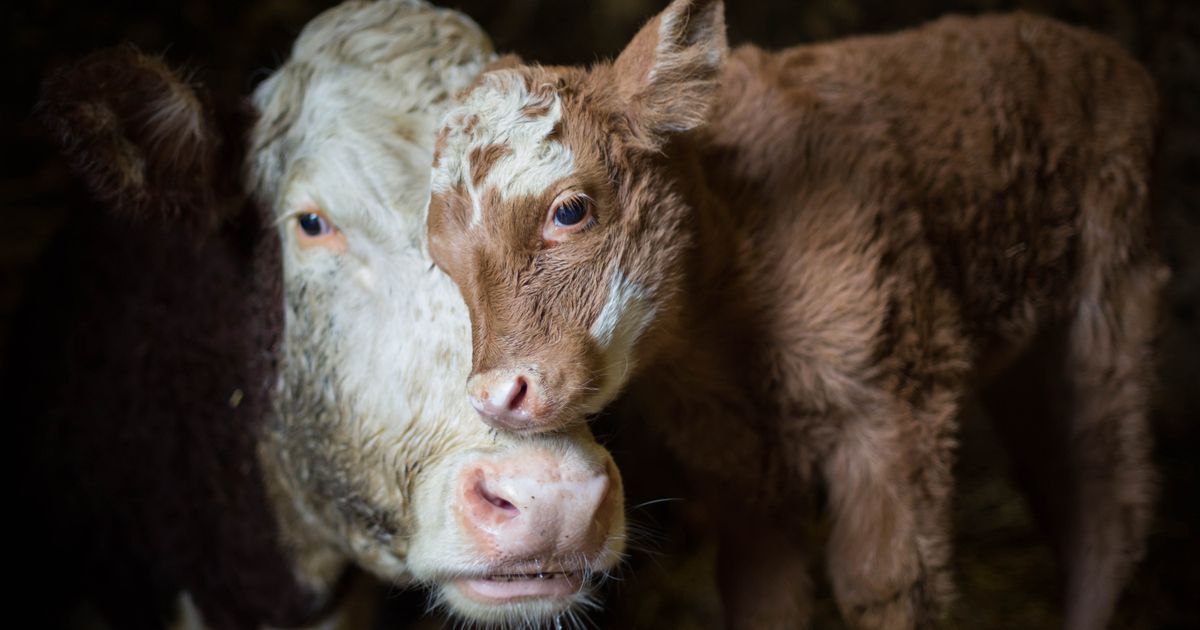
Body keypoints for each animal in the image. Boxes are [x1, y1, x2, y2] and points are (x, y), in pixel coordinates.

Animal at [427, 2, 1166, 624]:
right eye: (441, 259)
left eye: (571, 210)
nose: (497, 395)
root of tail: (1092, 47)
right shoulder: (729, 449)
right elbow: (762, 590)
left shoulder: (895, 406)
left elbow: (886, 585)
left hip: (1113, 299)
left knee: (1107, 500)